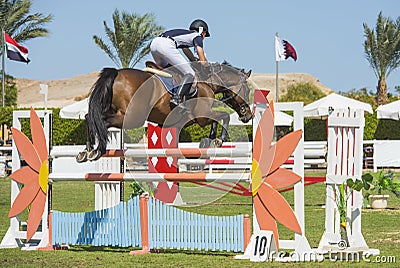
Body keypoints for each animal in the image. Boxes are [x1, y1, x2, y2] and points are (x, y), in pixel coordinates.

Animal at [76, 61, 253, 161]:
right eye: (247, 89)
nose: (248, 115)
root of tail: (116, 73)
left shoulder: (178, 123)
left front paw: (209, 140)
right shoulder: (201, 117)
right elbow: (223, 116)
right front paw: (218, 140)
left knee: (89, 117)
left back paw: (87, 150)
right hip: (133, 117)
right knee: (102, 122)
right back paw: (98, 150)